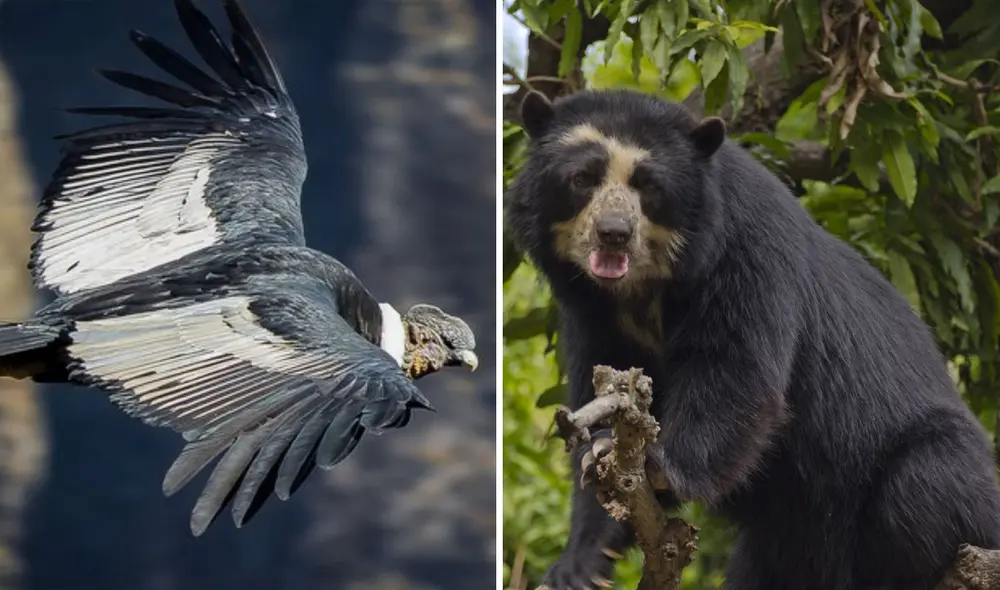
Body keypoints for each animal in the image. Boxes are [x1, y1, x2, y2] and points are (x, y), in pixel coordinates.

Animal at [505, 88, 1000, 590]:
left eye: (650, 186)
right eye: (582, 179)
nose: (614, 234)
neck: (643, 290)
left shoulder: (746, 252)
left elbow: (735, 372)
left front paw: (658, 468)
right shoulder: (591, 314)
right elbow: (602, 395)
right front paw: (579, 559)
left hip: (934, 478)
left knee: (921, 482)